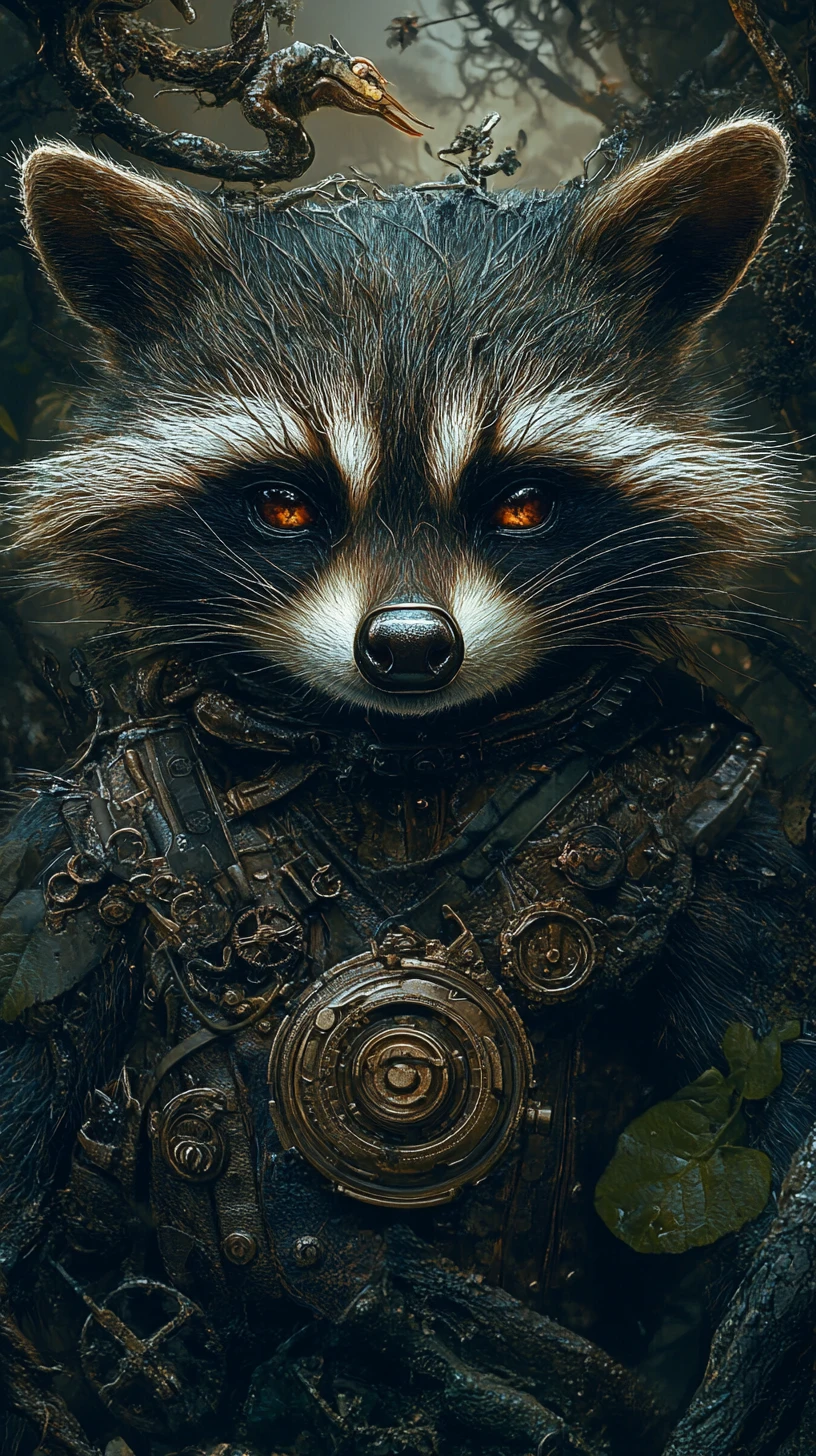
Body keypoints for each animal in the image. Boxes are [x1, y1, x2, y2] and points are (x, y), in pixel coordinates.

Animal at [2, 120, 816, 1456]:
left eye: (523, 502)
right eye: (286, 503)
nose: (408, 649)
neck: (405, 760)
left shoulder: (718, 829)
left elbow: (777, 1049)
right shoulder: (68, 854)